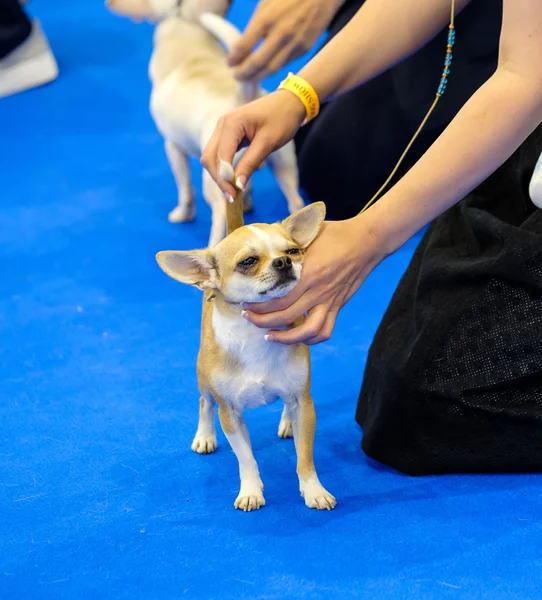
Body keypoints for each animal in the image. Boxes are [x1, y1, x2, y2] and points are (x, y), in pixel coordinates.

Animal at [108, 0, 308, 246]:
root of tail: (242, 98)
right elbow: (246, 187)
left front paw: (183, 214)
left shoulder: (173, 147)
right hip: (284, 165)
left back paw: (213, 246)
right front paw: (248, 204)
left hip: (214, 178)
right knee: (295, 201)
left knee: (220, 215)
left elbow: (185, 188)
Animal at [155, 184, 338, 510]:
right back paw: (205, 436)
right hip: (203, 374)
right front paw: (251, 491)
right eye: (248, 262)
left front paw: (314, 490)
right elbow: (246, 459)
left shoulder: (304, 403)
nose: (284, 262)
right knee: (204, 402)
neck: (256, 336)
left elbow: (305, 457)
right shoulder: (230, 415)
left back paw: (287, 423)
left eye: (293, 251)